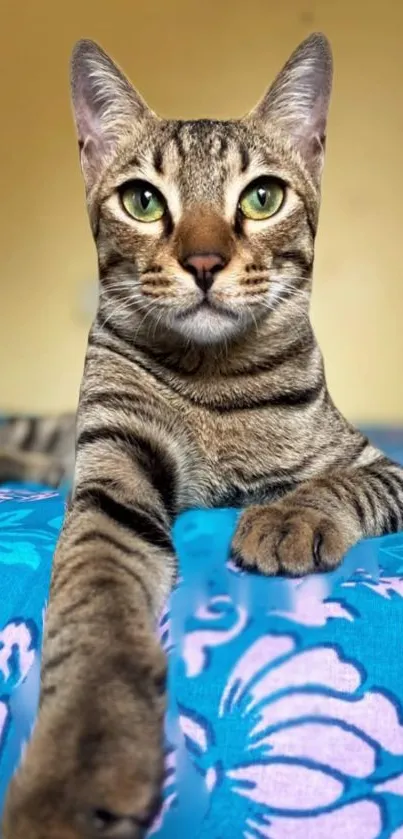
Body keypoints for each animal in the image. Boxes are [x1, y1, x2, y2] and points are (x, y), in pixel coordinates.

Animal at [3, 32, 403, 839]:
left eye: (262, 196)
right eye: (143, 200)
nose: (205, 261)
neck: (217, 382)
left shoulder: (381, 464)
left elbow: (336, 482)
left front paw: (288, 517)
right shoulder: (110, 468)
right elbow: (93, 597)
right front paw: (81, 754)